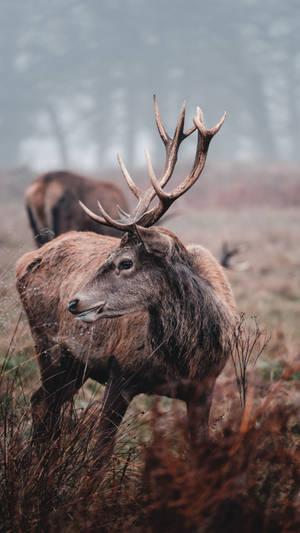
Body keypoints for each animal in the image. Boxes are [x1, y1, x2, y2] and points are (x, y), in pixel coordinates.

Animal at [15, 95, 237, 466]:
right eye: (110, 256)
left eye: (125, 262)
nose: (74, 302)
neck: (184, 359)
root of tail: (23, 262)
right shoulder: (120, 373)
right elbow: (100, 456)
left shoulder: (205, 388)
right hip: (49, 347)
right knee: (41, 403)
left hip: (72, 366)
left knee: (45, 403)